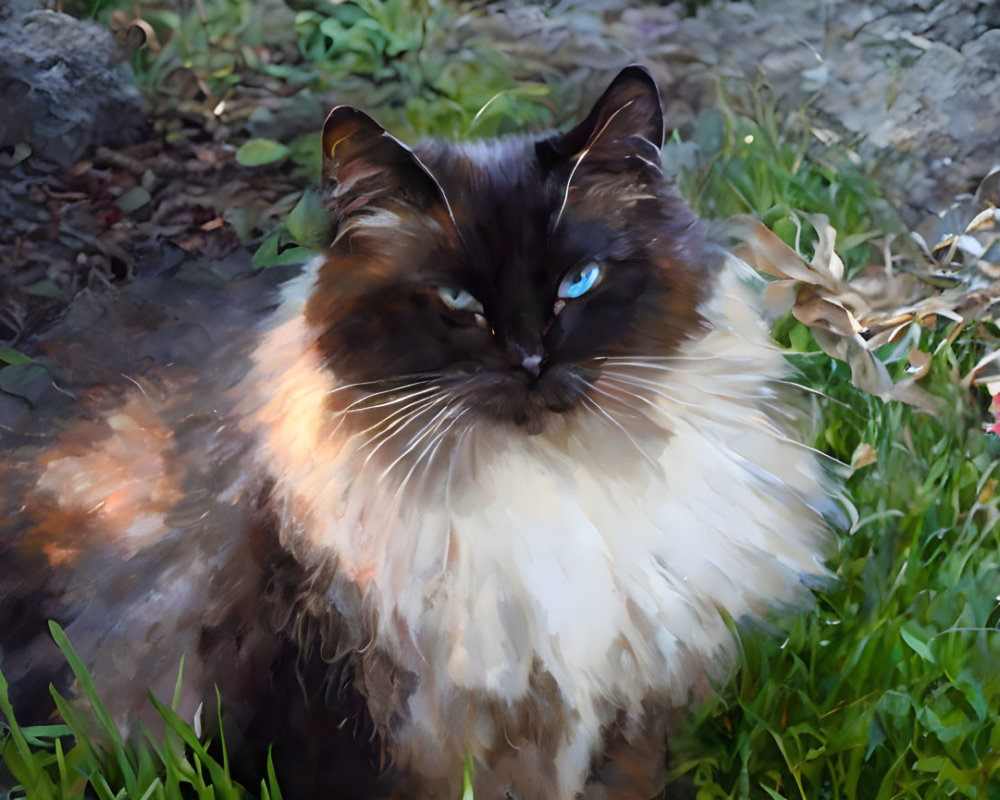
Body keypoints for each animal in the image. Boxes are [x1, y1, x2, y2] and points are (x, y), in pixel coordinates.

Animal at [0, 65, 828, 796]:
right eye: (458, 301)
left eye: (579, 281)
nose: (530, 362)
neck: (547, 485)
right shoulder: (349, 701)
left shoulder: (626, 713)